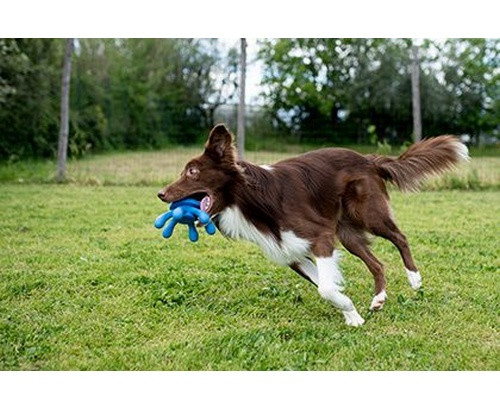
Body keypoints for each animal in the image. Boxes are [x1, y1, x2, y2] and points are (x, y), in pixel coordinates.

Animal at [158, 125, 470, 326]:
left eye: (192, 171)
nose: (160, 194)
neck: (250, 199)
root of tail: (368, 159)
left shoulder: (320, 237)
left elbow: (326, 289)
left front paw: (348, 309)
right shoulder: (291, 253)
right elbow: (324, 283)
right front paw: (353, 315)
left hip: (368, 214)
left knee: (400, 237)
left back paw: (414, 278)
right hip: (347, 233)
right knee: (377, 263)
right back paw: (379, 298)